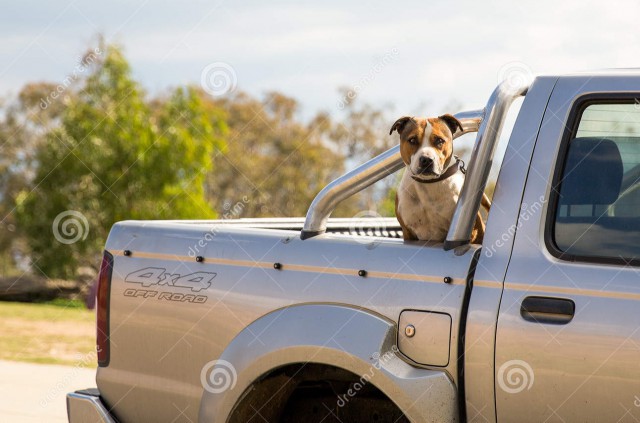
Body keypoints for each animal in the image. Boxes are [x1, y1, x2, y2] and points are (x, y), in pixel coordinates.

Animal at [390, 114, 490, 243]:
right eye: (412, 140)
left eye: (439, 140)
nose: (426, 159)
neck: (428, 184)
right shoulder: (408, 234)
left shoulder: (473, 233)